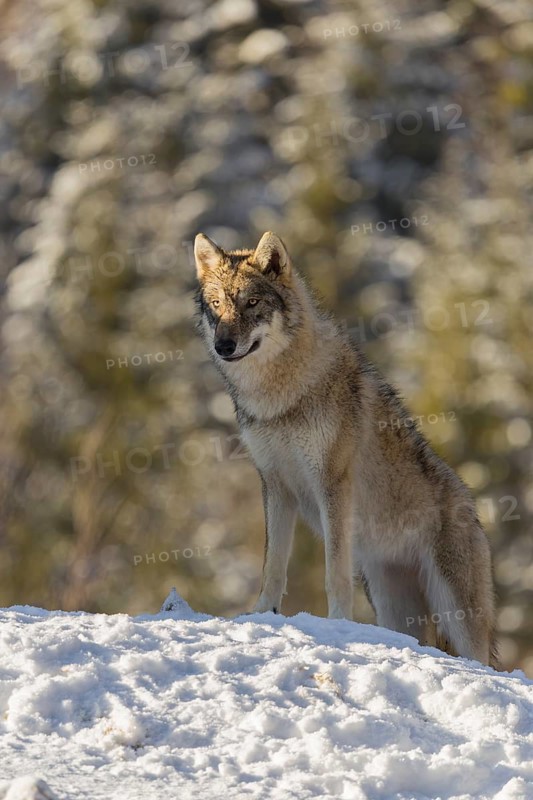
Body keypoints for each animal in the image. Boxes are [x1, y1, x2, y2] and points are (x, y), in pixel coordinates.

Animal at [194, 230, 498, 667]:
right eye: (217, 304)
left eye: (252, 302)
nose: (224, 345)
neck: (281, 397)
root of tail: (473, 509)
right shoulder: (275, 485)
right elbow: (272, 565)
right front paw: (261, 613)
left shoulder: (332, 484)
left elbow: (334, 571)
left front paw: (337, 622)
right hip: (394, 606)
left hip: (459, 618)